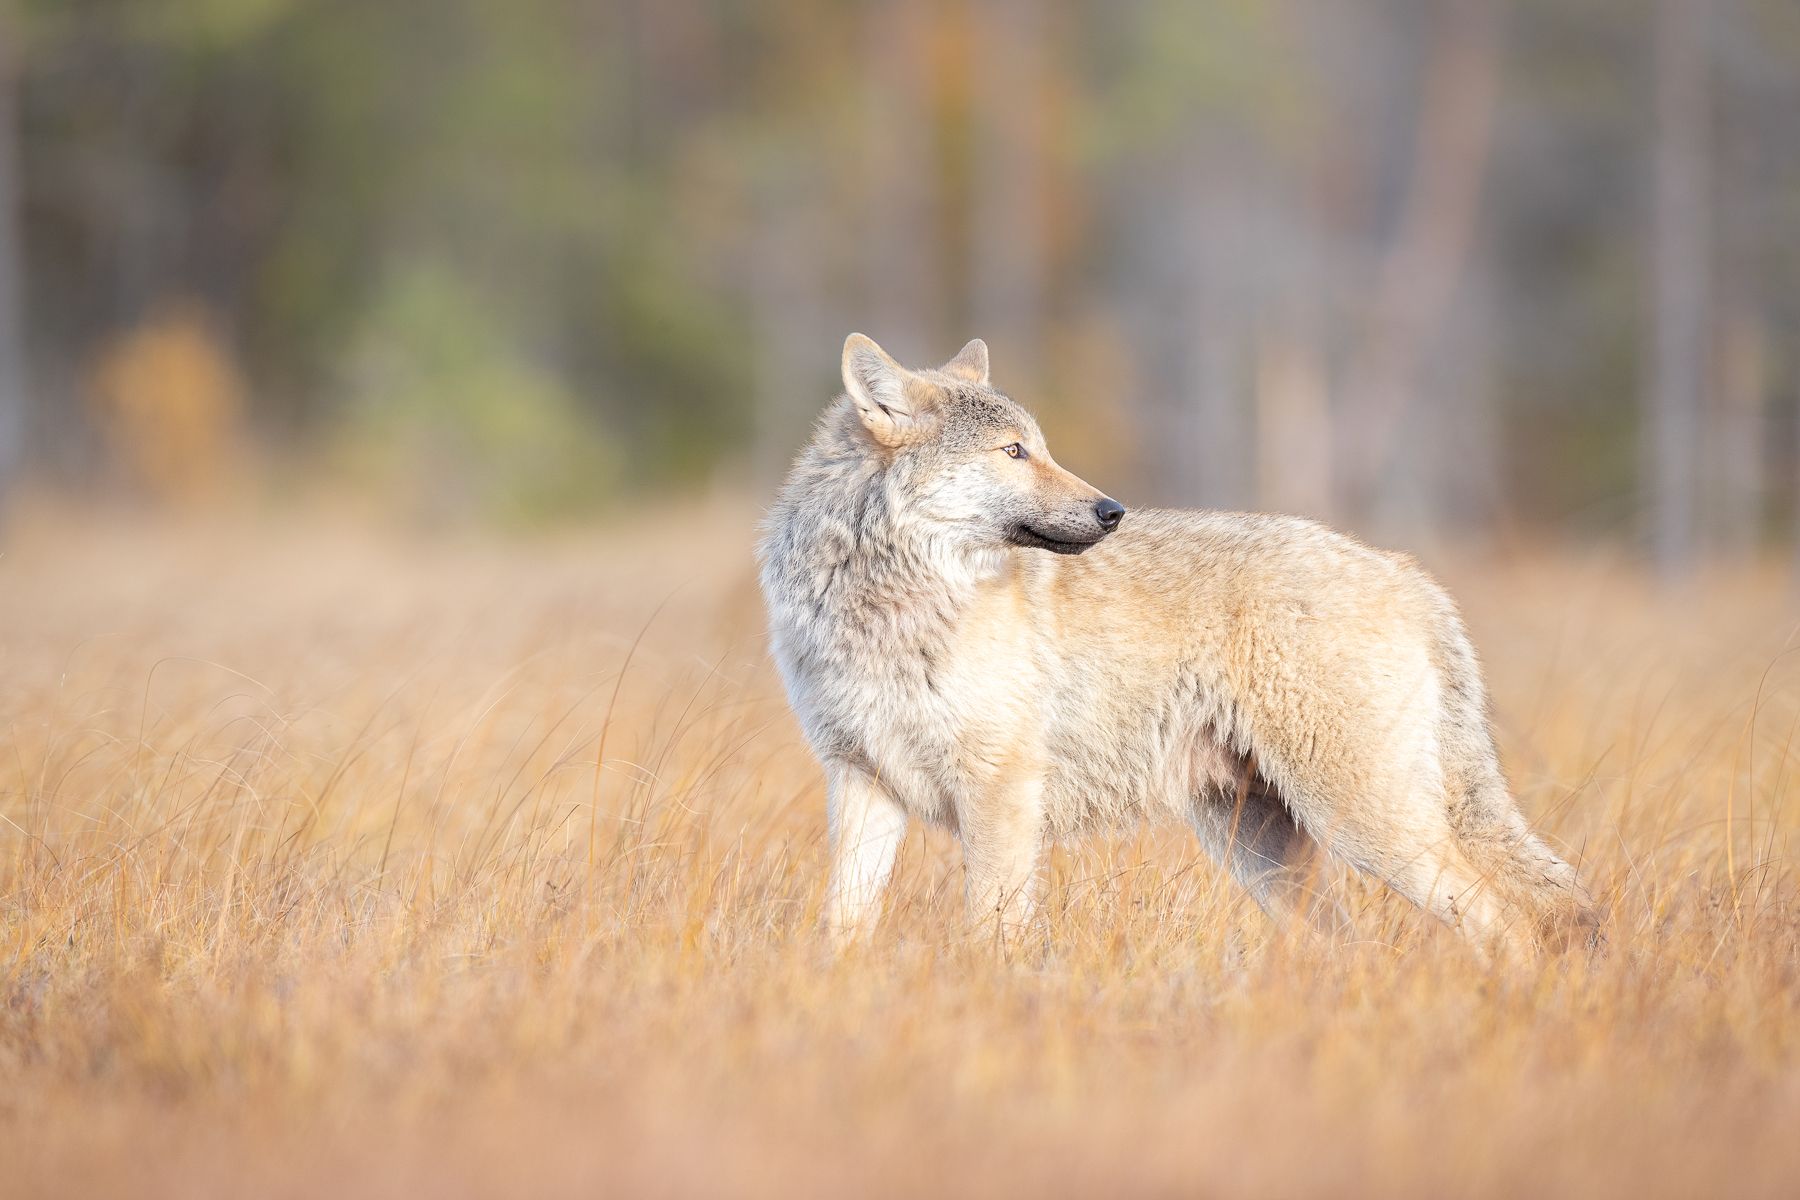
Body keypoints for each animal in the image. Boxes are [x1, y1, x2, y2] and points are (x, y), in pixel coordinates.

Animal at [758, 333, 1599, 956]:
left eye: (1036, 447)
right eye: (1013, 452)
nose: (1111, 510)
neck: (884, 606)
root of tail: (1407, 571)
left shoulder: (998, 791)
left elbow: (992, 932)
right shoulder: (861, 781)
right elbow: (841, 926)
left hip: (1365, 826)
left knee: (1508, 925)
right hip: (1265, 849)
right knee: (1351, 946)